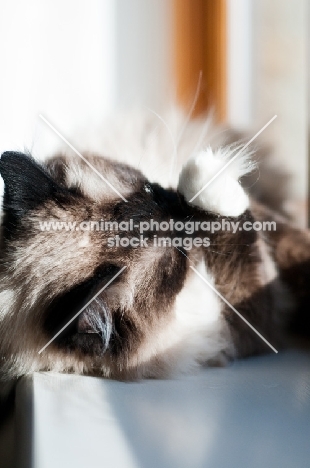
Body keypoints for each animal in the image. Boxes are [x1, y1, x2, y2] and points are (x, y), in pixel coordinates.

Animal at [0, 110, 308, 398]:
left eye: (151, 190)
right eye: (179, 252)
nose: (181, 210)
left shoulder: (269, 223)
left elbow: (288, 241)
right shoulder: (245, 322)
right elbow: (238, 234)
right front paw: (207, 180)